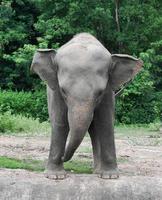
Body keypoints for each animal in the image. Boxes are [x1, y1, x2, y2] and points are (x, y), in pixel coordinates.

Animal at [30, 32, 143, 180]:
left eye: (100, 92)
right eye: (63, 91)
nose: (63, 157)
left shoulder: (108, 92)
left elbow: (105, 123)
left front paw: (110, 176)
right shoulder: (55, 92)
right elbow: (60, 123)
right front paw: (55, 176)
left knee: (96, 129)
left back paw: (98, 171)